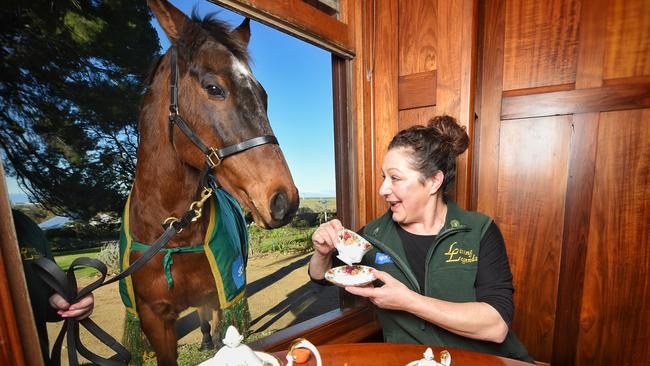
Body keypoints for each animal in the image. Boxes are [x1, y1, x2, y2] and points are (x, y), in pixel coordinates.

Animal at [123, 1, 298, 364]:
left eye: (263, 95)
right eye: (214, 88)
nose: (284, 200)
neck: (173, 234)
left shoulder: (225, 292)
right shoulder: (153, 319)